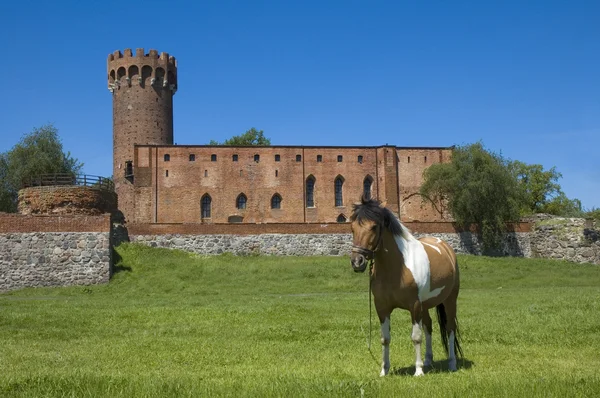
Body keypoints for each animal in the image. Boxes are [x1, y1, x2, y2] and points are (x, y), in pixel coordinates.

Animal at [346, 197, 464, 378]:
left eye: (374, 227)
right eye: (352, 228)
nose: (357, 261)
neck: (397, 268)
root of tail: (445, 247)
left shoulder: (414, 306)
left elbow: (416, 337)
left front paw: (418, 371)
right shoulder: (382, 307)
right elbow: (385, 338)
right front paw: (384, 370)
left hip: (449, 300)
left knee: (450, 328)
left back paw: (452, 364)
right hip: (425, 306)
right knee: (429, 326)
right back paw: (428, 360)